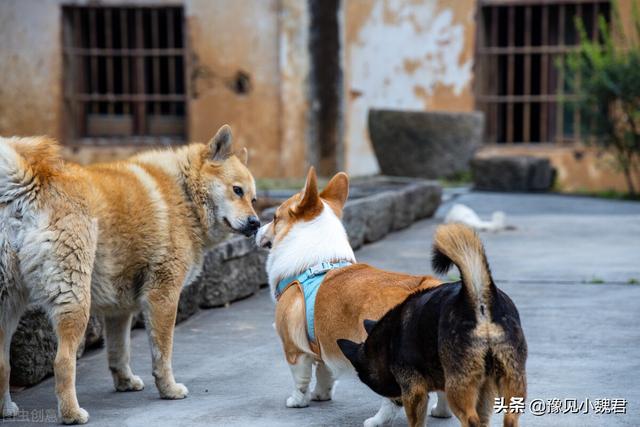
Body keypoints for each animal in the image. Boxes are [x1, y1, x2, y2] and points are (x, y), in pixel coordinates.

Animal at [1, 126, 260, 424]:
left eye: (253, 199)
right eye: (237, 190)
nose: (256, 223)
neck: (184, 193)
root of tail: (32, 184)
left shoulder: (119, 308)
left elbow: (118, 352)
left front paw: (125, 383)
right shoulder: (163, 296)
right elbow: (162, 354)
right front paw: (169, 389)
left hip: (11, 304)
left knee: (3, 363)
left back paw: (6, 409)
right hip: (74, 301)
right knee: (63, 361)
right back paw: (71, 413)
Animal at [256, 169, 456, 426]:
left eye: (274, 218)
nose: (255, 228)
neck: (317, 260)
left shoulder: (294, 350)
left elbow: (301, 379)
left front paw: (298, 401)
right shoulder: (323, 342)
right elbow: (324, 372)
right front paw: (321, 395)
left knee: (394, 397)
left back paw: (377, 420)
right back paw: (441, 412)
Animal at [338, 224, 528, 427]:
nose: (396, 400)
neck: (388, 341)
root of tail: (477, 298)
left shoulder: (414, 391)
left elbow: (417, 421)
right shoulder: (485, 387)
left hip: (458, 385)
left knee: (470, 419)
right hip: (512, 378)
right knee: (509, 418)